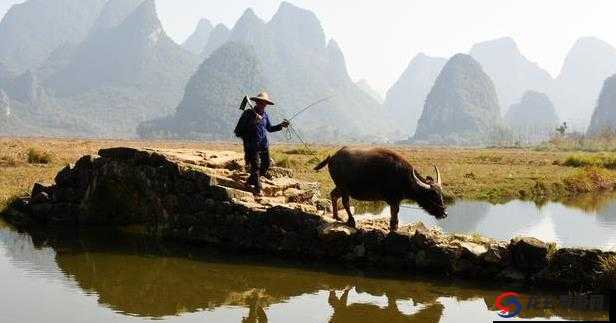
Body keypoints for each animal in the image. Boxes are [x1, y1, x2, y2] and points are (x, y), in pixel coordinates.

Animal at [316, 148, 446, 232]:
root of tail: (332, 157)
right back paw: (351, 221)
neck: (403, 177)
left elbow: (395, 212)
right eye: (432, 195)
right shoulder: (393, 200)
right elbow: (394, 212)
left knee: (333, 195)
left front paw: (395, 226)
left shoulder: (396, 200)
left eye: (441, 194)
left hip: (340, 187)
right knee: (345, 202)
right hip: (343, 188)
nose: (445, 213)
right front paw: (393, 226)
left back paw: (336, 216)